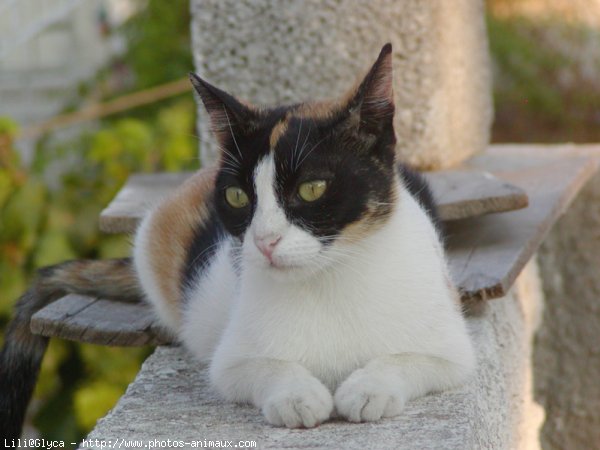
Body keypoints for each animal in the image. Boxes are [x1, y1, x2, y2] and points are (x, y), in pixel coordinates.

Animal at [1, 43, 478, 436]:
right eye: (237, 196)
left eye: (311, 189)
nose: (264, 241)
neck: (329, 279)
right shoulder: (231, 361)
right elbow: (262, 368)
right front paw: (296, 395)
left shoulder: (452, 350)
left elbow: (411, 359)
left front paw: (369, 387)